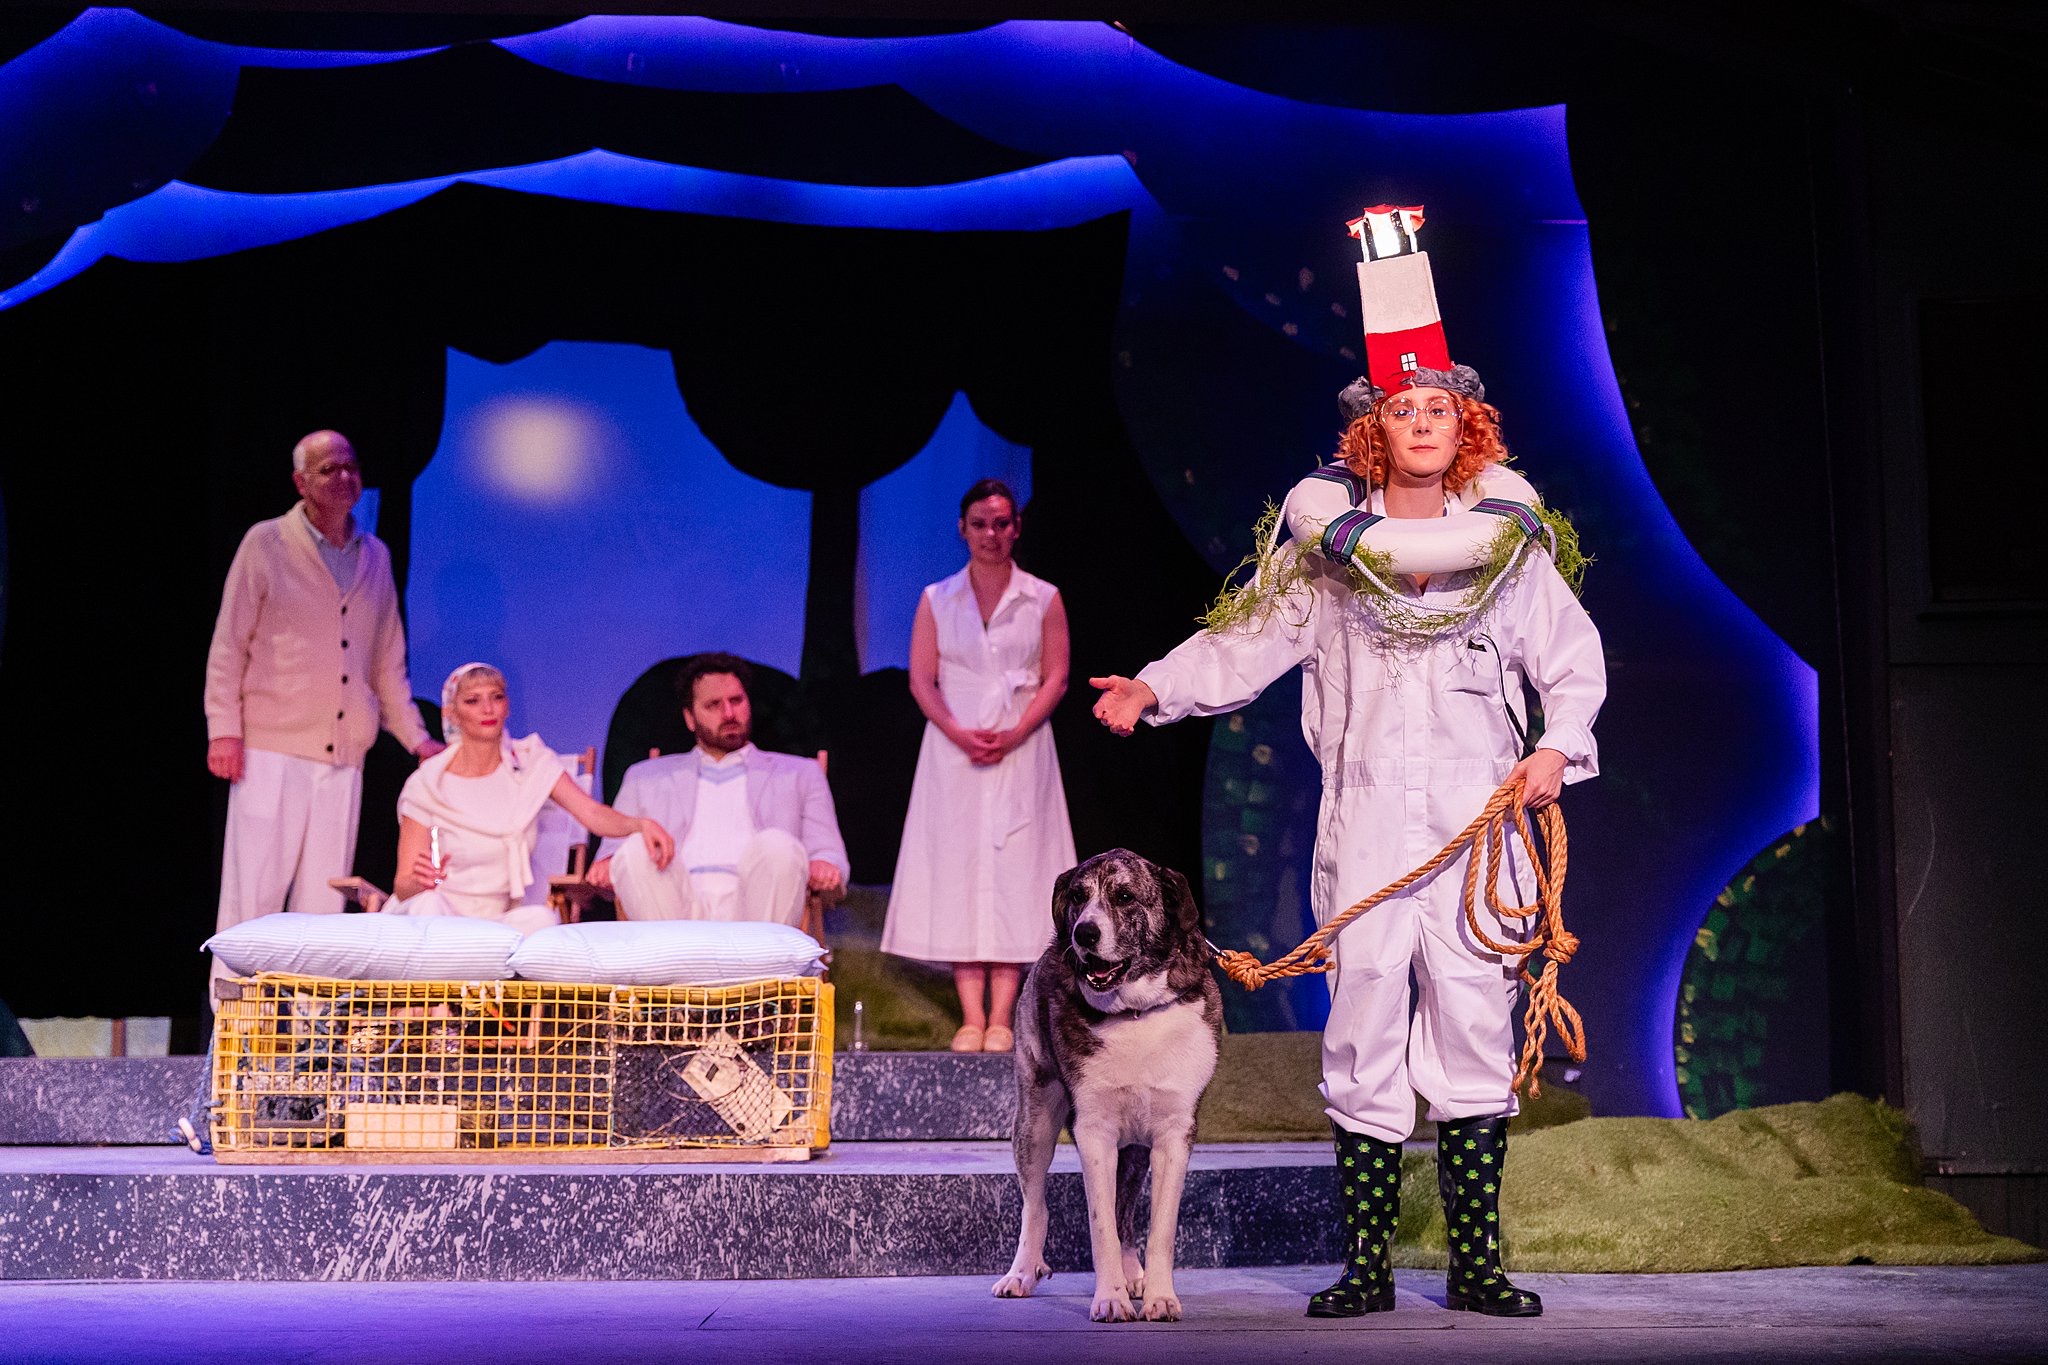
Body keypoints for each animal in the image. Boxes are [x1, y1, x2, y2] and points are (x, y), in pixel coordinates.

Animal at [991, 849, 1223, 1322]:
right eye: (1078, 896)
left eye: (1125, 897)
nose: (1084, 932)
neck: (1135, 1012)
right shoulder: (1094, 1131)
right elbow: (1100, 1229)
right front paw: (1110, 1298)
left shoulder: (1174, 1135)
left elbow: (1159, 1228)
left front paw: (1159, 1297)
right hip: (1035, 1120)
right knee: (1036, 1206)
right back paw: (1021, 1273)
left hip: (1134, 1151)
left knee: (1126, 1210)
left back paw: (1134, 1274)